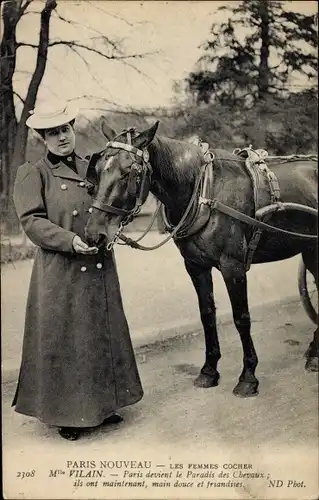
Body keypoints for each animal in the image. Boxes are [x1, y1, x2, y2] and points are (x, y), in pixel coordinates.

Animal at [85, 119, 319, 396]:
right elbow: (207, 315)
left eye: (128, 172)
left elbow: (241, 318)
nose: (93, 234)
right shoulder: (195, 267)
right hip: (310, 249)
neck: (205, 191)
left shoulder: (233, 267)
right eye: (97, 169)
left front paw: (248, 376)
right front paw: (209, 371)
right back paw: (314, 352)